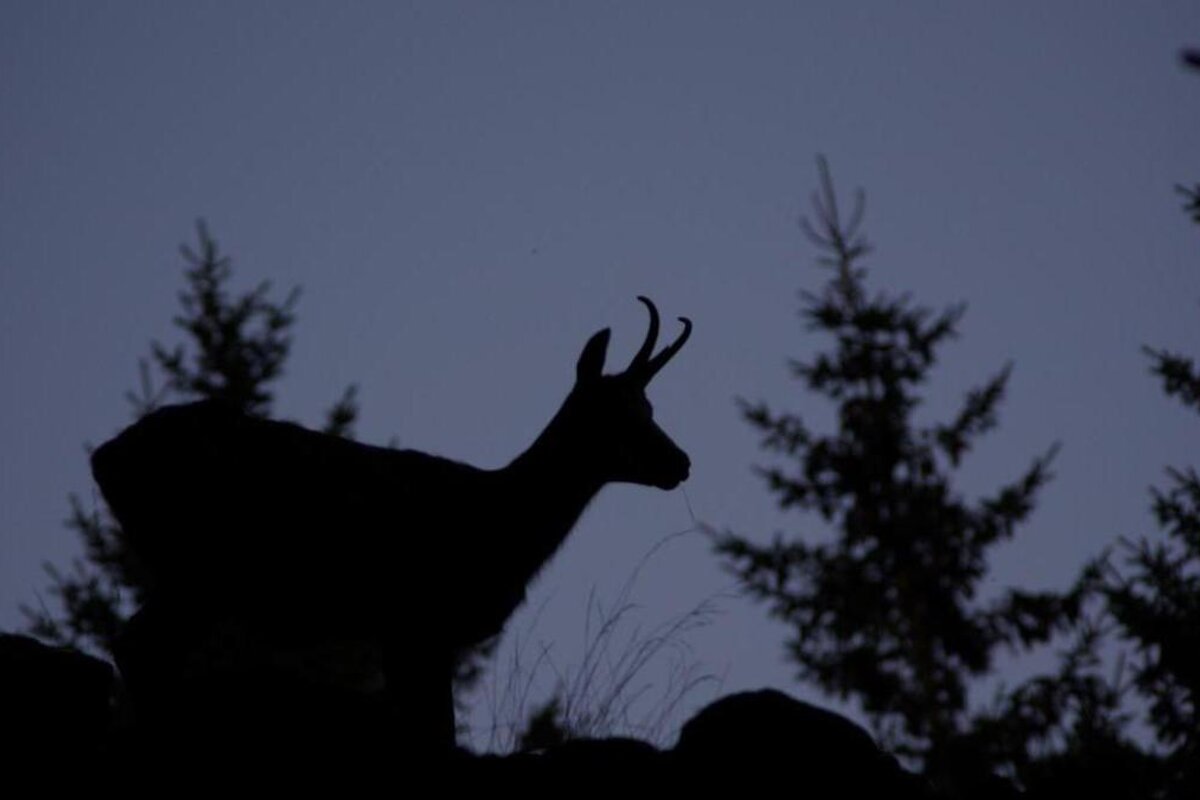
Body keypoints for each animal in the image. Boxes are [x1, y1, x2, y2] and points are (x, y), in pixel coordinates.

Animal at [92, 296, 692, 754]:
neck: (501, 524)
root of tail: (104, 458)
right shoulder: (420, 620)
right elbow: (436, 731)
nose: (681, 462)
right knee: (137, 645)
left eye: (649, 406)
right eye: (618, 412)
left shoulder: (404, 633)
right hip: (200, 565)